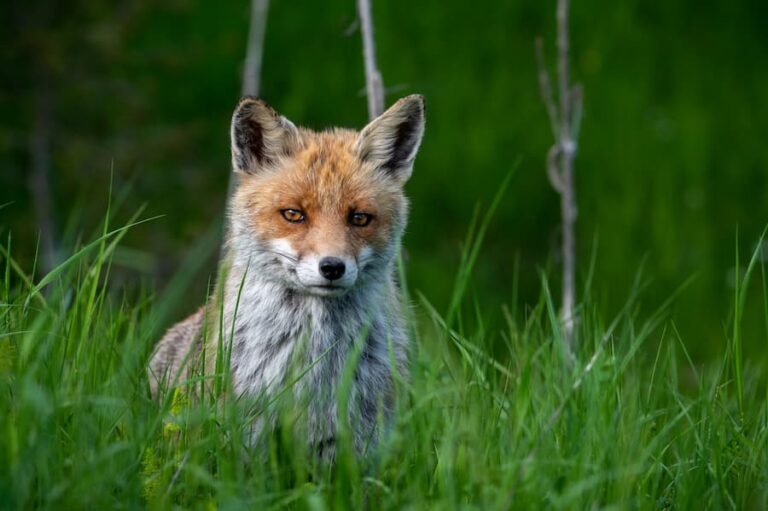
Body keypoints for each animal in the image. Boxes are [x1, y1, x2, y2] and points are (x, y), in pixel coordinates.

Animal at [148, 94, 426, 458]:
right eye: (294, 214)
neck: (315, 359)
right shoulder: (247, 433)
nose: (332, 267)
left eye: (359, 218)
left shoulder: (356, 440)